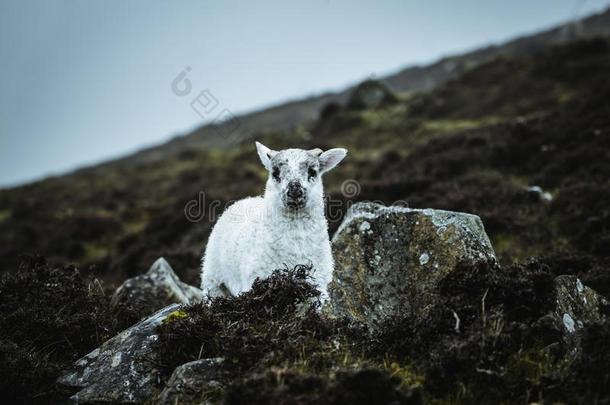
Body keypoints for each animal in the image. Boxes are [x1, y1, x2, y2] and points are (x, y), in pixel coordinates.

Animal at [197, 141, 344, 300]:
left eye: (312, 172)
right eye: (275, 173)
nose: (294, 190)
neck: (295, 248)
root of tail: (245, 200)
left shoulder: (318, 285)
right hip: (213, 280)